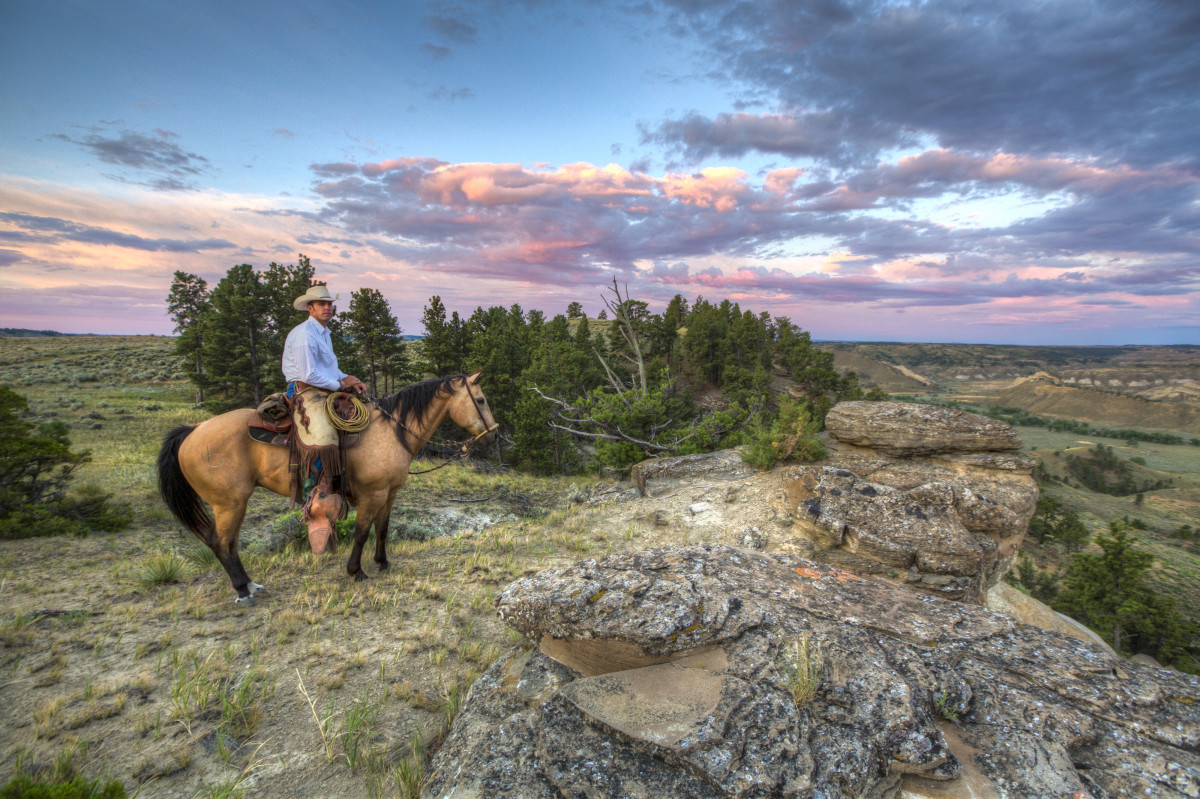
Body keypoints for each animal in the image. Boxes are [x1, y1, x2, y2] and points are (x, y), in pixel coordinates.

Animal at [158, 369, 496, 599]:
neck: (392, 431)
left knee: (229, 543)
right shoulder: (373, 494)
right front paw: (356, 571)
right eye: (480, 399)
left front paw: (383, 563)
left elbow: (382, 529)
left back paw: (251, 584)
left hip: (233, 504)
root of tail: (193, 429)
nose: (493, 434)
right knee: (218, 541)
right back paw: (242, 589)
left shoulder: (389, 493)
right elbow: (361, 533)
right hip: (229, 502)